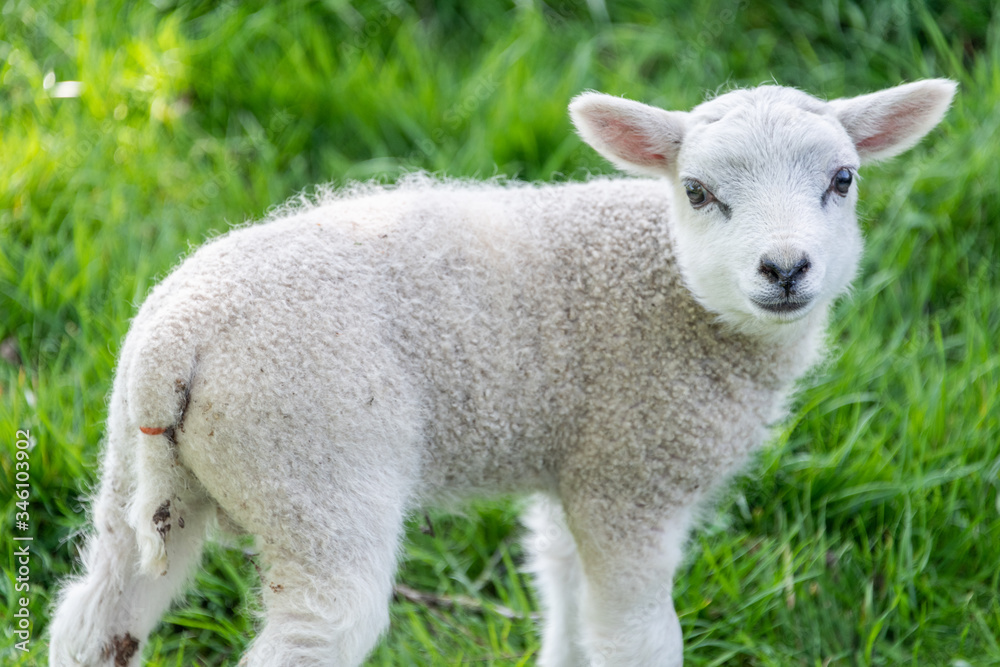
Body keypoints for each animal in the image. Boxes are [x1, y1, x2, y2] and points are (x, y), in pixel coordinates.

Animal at [50, 79, 956, 667]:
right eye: (698, 191)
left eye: (843, 180)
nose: (785, 268)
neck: (673, 293)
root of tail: (177, 343)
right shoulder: (633, 475)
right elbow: (636, 640)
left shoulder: (578, 467)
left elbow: (564, 595)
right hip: (314, 469)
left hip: (142, 469)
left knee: (95, 616)